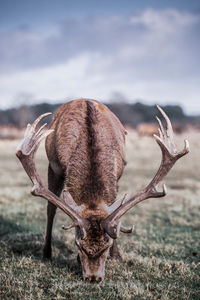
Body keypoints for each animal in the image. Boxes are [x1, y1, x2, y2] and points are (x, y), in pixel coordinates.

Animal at [16, 98, 189, 282]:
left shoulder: (118, 173)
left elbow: (116, 214)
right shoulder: (55, 167)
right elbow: (52, 208)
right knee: (51, 209)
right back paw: (47, 252)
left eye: (107, 245)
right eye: (78, 244)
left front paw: (117, 256)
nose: (93, 278)